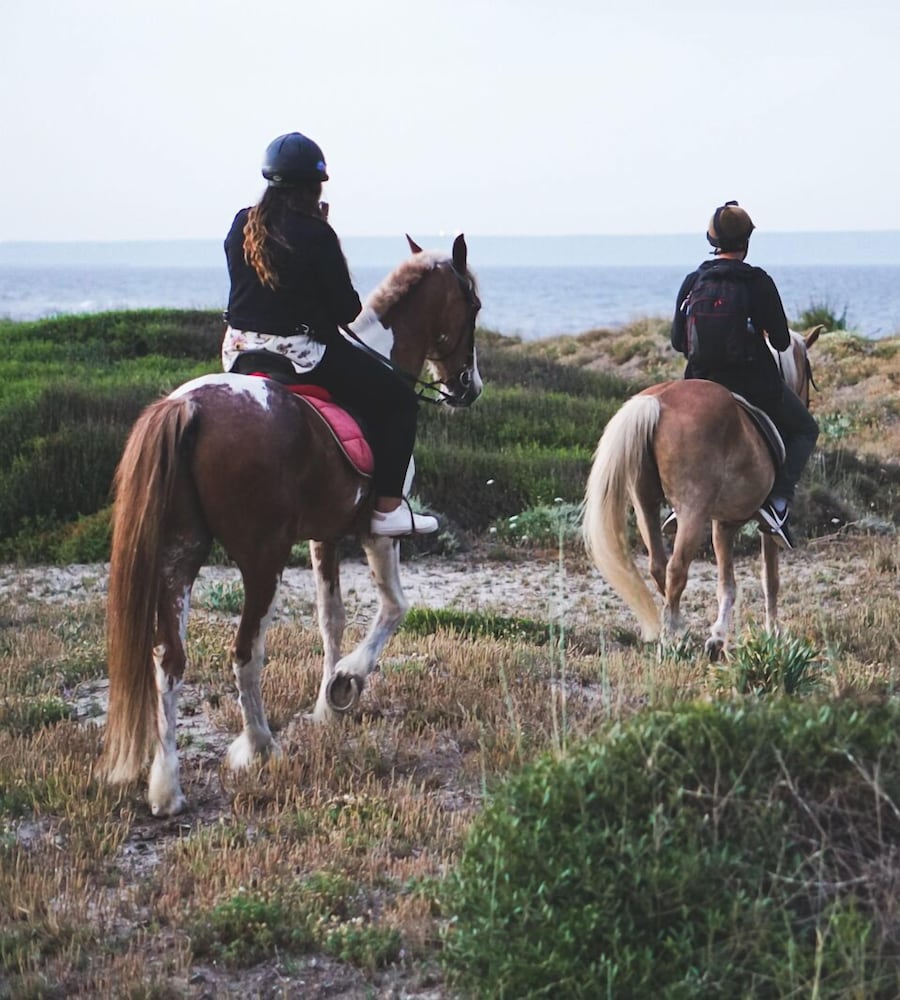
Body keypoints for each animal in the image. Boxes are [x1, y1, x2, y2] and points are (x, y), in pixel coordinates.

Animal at [101, 234, 482, 816]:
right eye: (473, 306)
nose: (469, 387)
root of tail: (187, 407)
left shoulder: (323, 534)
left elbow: (331, 618)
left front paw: (328, 703)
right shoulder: (376, 532)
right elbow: (394, 607)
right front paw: (347, 682)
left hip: (178, 554)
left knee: (169, 659)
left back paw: (167, 788)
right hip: (263, 557)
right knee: (244, 653)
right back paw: (260, 746)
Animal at [582, 326, 823, 660]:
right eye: (808, 370)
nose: (806, 399)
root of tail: (658, 402)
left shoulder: (723, 524)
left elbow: (727, 584)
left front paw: (718, 638)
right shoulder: (763, 528)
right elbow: (769, 580)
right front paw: (773, 634)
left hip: (645, 503)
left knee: (658, 565)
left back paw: (679, 630)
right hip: (692, 513)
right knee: (676, 569)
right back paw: (673, 639)